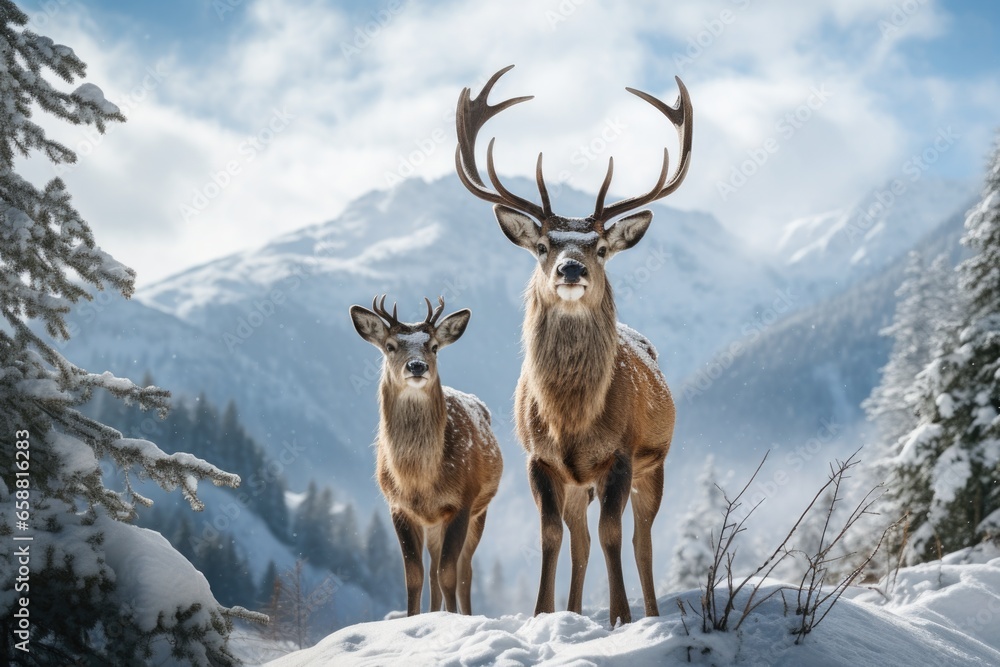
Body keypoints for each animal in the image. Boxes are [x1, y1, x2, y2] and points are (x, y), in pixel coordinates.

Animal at [354, 294, 508, 620]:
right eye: (390, 346)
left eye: (434, 346)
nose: (416, 366)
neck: (420, 481)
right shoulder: (398, 507)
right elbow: (414, 576)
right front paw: (413, 620)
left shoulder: (461, 502)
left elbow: (449, 573)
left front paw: (451, 620)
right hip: (433, 523)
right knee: (435, 570)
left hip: (479, 511)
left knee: (464, 571)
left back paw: (463, 613)